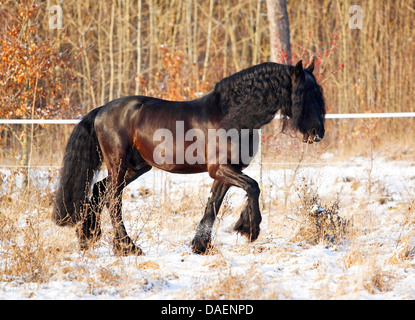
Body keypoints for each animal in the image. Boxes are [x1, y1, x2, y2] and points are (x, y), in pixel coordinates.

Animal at [52, 59, 324, 255]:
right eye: (305, 94)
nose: (317, 133)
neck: (230, 117)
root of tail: (102, 110)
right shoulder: (221, 169)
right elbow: (253, 187)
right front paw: (249, 229)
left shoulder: (226, 173)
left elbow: (213, 205)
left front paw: (201, 245)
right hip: (117, 163)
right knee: (113, 200)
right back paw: (128, 248)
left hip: (135, 167)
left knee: (99, 192)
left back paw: (88, 239)